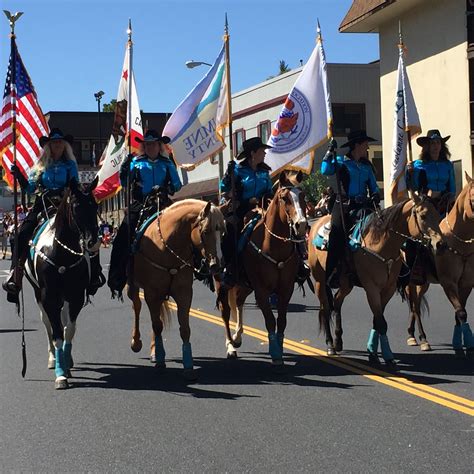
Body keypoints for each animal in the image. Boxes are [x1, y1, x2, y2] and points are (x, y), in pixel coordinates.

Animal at [24, 180, 100, 390]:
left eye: (96, 206)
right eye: (76, 207)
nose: (93, 242)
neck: (61, 253)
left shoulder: (75, 296)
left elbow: (69, 331)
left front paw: (66, 363)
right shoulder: (48, 298)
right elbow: (56, 333)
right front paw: (60, 374)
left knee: (64, 321)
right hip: (38, 295)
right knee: (47, 324)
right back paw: (52, 358)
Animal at [128, 198, 226, 380]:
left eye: (222, 232)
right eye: (206, 231)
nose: (218, 265)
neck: (166, 247)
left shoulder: (184, 293)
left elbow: (184, 329)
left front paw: (188, 366)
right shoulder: (152, 293)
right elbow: (157, 326)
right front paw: (160, 361)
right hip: (133, 286)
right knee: (137, 306)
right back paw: (136, 342)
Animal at [216, 170, 308, 366]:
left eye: (303, 195)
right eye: (285, 198)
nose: (302, 225)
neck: (272, 244)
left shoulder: (285, 290)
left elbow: (282, 321)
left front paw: (279, 347)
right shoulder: (262, 291)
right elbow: (270, 320)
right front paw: (275, 353)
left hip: (244, 285)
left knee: (239, 302)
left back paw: (238, 337)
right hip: (222, 284)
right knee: (225, 312)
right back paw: (231, 346)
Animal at [310, 193, 446, 366]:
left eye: (438, 215)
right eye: (422, 216)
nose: (440, 244)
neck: (381, 244)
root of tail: (315, 224)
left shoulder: (388, 288)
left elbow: (378, 319)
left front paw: (373, 351)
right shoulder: (372, 288)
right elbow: (381, 322)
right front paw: (384, 355)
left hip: (346, 283)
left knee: (337, 301)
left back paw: (338, 340)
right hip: (320, 280)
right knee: (326, 308)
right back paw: (329, 345)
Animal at [404, 174, 474, 360]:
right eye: (473, 198)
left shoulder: (466, 284)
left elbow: (460, 312)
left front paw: (460, 345)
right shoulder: (448, 283)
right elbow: (461, 312)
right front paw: (464, 346)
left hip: (424, 283)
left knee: (416, 303)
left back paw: (413, 334)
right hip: (411, 281)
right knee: (415, 306)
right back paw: (421, 339)